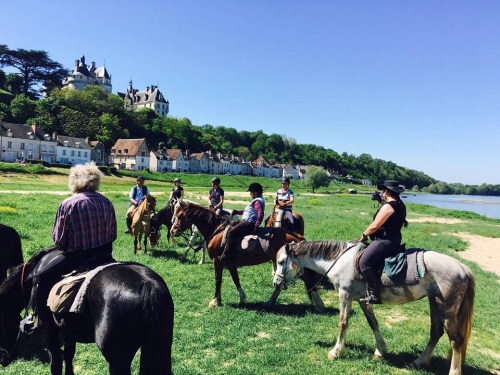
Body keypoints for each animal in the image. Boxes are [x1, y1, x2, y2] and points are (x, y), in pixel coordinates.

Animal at [0, 248, 174, 374]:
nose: (3, 359)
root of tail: (148, 285)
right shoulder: (69, 328)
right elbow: (68, 354)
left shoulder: (50, 330)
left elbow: (55, 362)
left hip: (118, 361)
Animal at [170, 200, 326, 312]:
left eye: (180, 216)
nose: (173, 231)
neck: (217, 231)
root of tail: (297, 237)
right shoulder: (230, 264)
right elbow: (236, 280)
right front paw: (242, 298)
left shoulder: (217, 262)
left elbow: (218, 280)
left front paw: (215, 301)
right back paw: (270, 301)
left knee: (308, 279)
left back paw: (319, 305)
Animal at [272, 241, 474, 375]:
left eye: (281, 262)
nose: (276, 282)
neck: (340, 260)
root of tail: (462, 268)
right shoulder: (363, 300)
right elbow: (373, 323)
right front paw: (380, 351)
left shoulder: (345, 295)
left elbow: (343, 323)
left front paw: (336, 352)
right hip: (435, 304)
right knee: (436, 333)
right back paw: (420, 361)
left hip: (447, 309)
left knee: (456, 340)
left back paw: (453, 371)